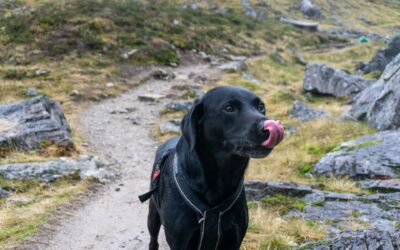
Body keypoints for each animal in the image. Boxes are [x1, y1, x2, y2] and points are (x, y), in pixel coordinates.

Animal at [139, 86, 282, 250]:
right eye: (229, 108)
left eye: (261, 107)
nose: (269, 127)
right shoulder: (181, 242)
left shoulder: (234, 240)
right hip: (153, 215)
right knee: (153, 239)